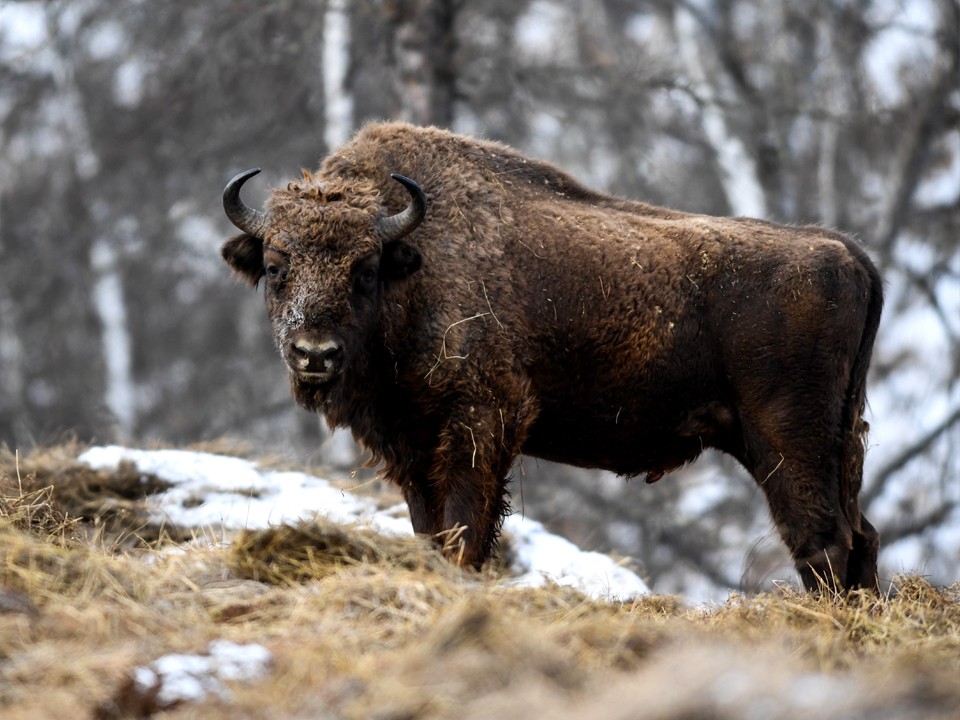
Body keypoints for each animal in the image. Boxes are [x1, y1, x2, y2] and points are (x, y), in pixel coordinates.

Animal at [221, 122, 880, 592]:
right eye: (276, 268)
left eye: (363, 270)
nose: (314, 354)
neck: (413, 267)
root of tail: (843, 252)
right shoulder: (411, 447)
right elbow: (432, 531)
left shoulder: (480, 426)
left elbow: (465, 532)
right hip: (841, 441)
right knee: (861, 537)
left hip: (786, 439)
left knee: (822, 540)